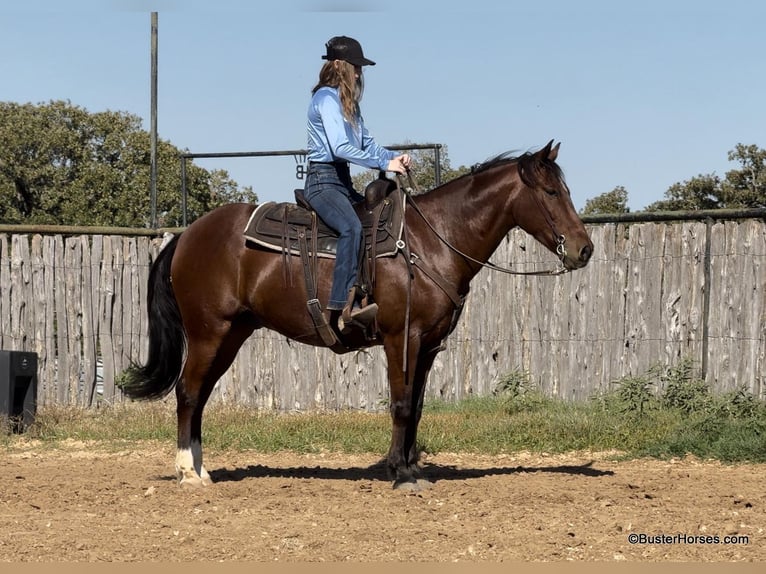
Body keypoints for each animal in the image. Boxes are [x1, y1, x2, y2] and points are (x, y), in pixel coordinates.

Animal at [123, 140, 596, 490]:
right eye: (551, 193)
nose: (584, 249)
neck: (429, 241)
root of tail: (187, 235)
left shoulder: (428, 345)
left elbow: (417, 407)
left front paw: (410, 466)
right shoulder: (400, 337)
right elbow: (401, 404)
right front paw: (401, 474)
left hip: (231, 335)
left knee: (200, 395)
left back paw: (203, 469)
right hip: (209, 332)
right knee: (187, 392)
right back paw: (187, 473)